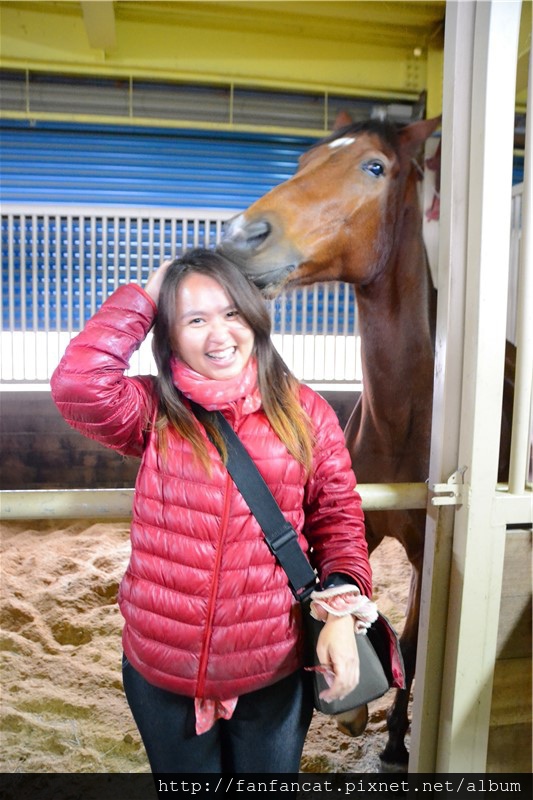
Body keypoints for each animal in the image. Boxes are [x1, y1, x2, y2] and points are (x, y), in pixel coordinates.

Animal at [217, 115, 443, 770]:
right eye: (304, 160)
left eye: (375, 167)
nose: (241, 235)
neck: (404, 419)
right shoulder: (356, 524)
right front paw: (357, 713)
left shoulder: (431, 553)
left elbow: (411, 644)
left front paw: (395, 740)